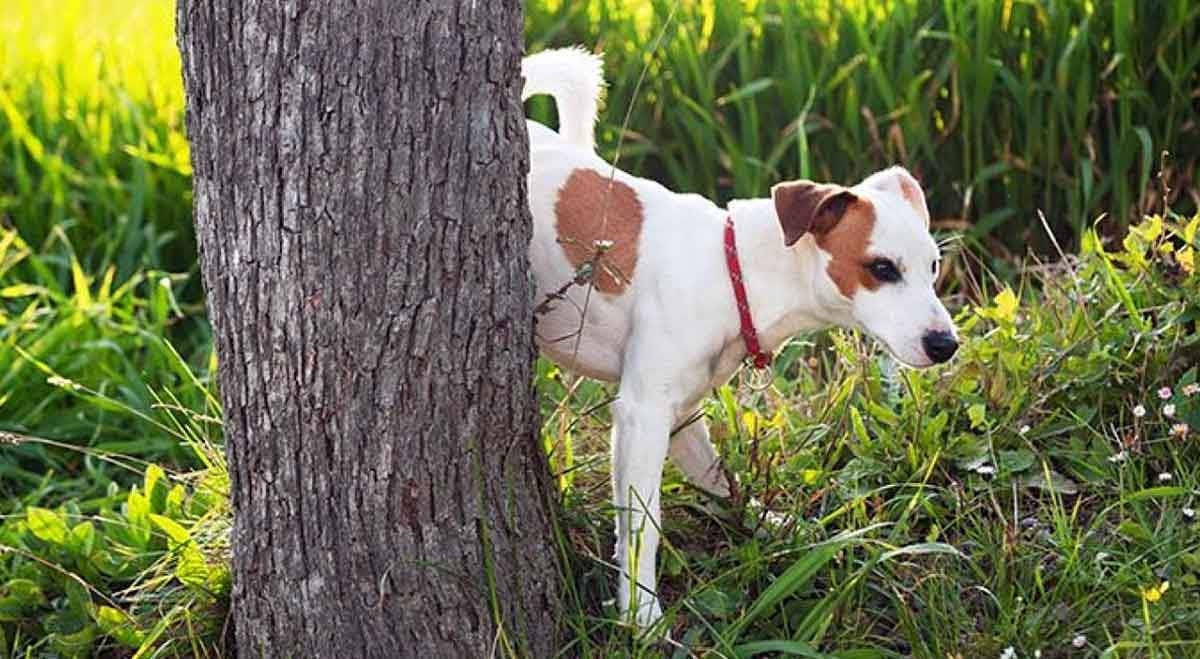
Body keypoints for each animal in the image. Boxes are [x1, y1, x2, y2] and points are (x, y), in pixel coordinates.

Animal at [520, 47, 960, 628]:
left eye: (933, 267)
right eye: (882, 268)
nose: (946, 344)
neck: (734, 270)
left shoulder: (682, 415)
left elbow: (715, 483)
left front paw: (775, 528)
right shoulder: (642, 414)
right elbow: (643, 526)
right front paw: (642, 615)